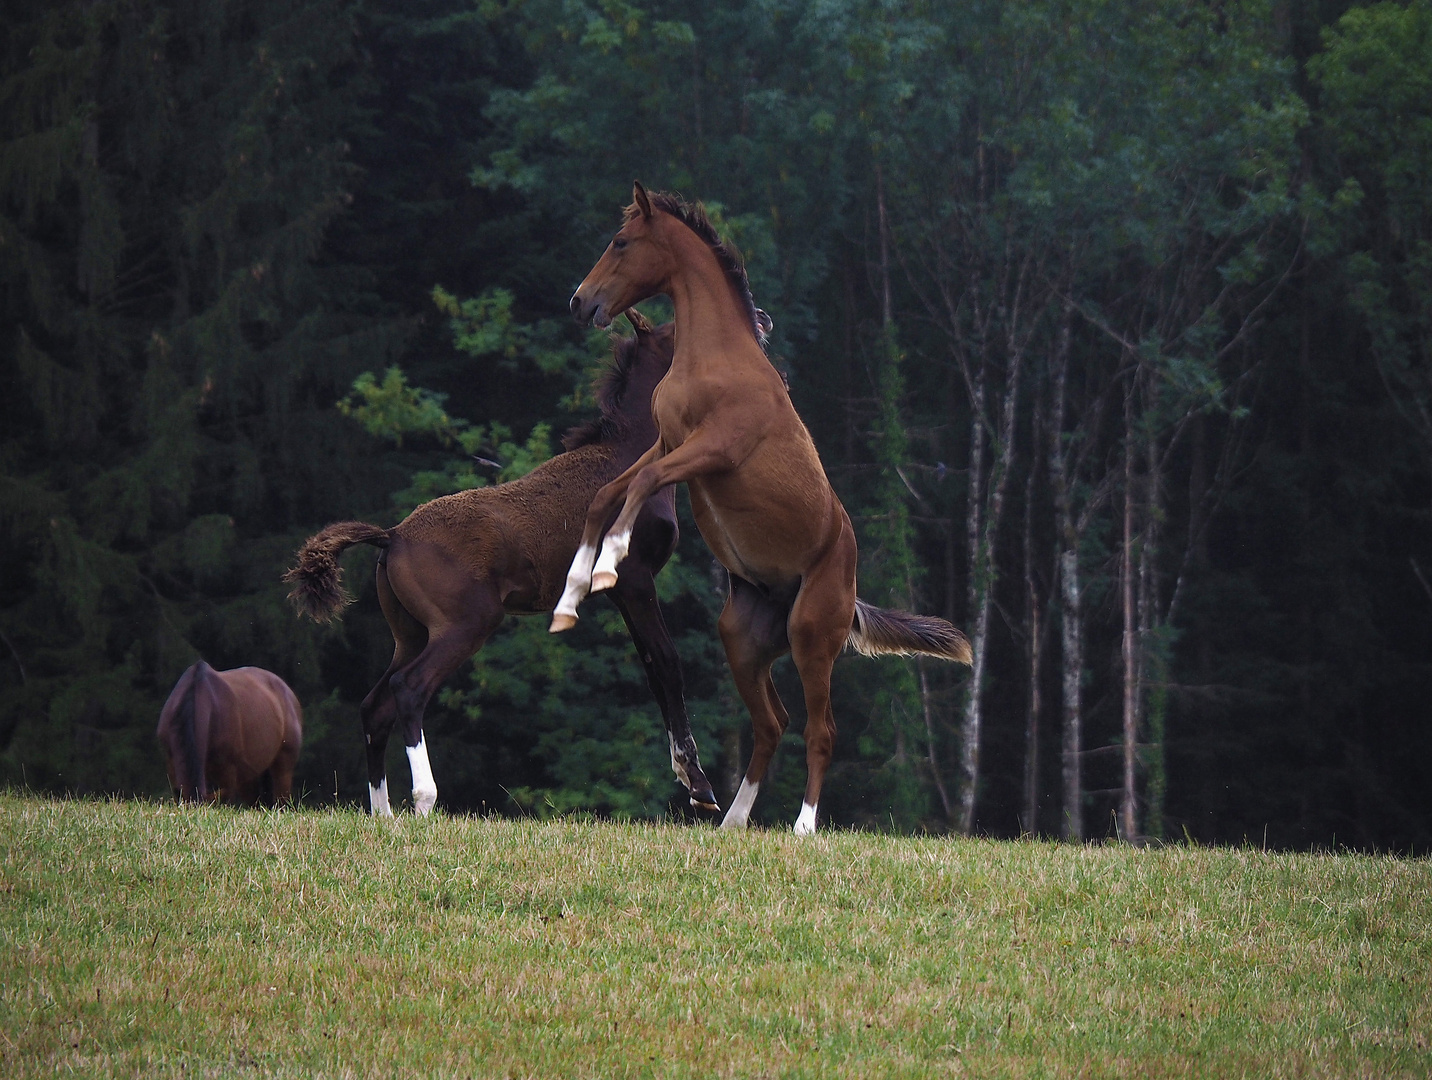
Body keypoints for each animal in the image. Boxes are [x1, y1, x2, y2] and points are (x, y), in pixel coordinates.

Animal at [283, 315, 721, 813]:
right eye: (677, 329)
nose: (760, 319)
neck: (630, 453)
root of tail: (393, 536)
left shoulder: (619, 592)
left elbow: (653, 669)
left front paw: (689, 780)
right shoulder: (636, 579)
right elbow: (667, 664)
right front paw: (701, 788)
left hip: (410, 635)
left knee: (375, 707)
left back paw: (384, 814)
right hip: (466, 624)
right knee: (409, 690)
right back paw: (424, 799)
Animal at [549, 183, 973, 830]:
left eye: (620, 242)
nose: (579, 301)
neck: (717, 359)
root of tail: (849, 591)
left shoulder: (710, 450)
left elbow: (642, 484)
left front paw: (607, 565)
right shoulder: (668, 442)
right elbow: (605, 495)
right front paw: (569, 600)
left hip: (810, 637)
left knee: (821, 731)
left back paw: (803, 827)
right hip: (742, 640)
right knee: (773, 724)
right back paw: (732, 821)